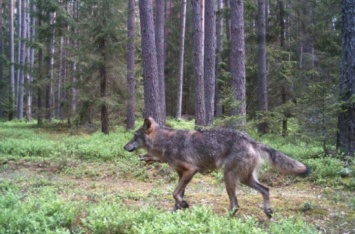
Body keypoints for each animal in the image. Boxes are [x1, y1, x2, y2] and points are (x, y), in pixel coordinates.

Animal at [124, 117, 310, 218]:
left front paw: (183, 205)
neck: (166, 142)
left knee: (236, 205)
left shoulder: (191, 170)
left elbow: (175, 193)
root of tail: (250, 139)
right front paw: (177, 210)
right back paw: (268, 211)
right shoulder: (181, 174)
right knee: (266, 189)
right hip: (245, 179)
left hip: (229, 177)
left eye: (134, 136)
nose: (124, 147)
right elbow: (177, 195)